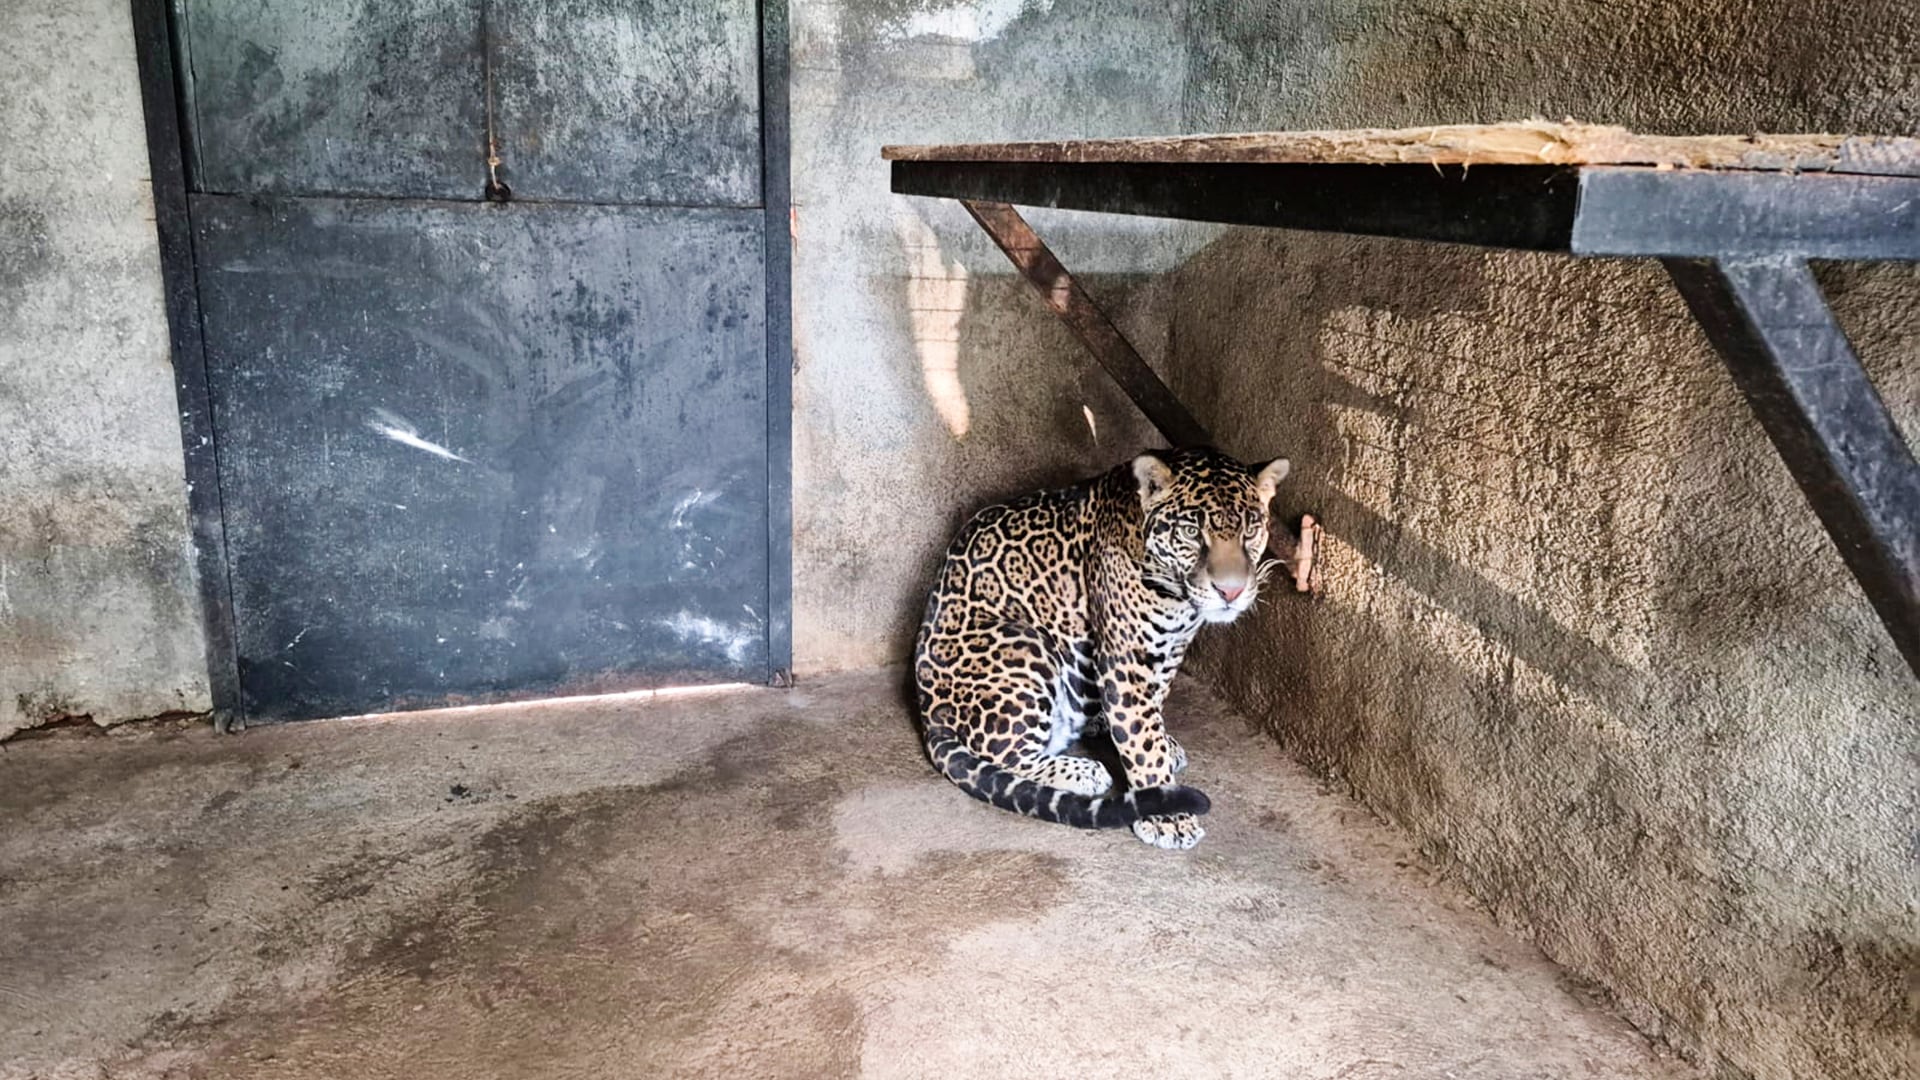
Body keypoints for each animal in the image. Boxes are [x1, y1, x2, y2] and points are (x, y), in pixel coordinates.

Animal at [914, 446, 1291, 850]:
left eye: (1250, 530)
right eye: (1191, 533)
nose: (1231, 592)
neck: (1178, 599)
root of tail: (929, 716)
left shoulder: (1172, 648)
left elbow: (1153, 706)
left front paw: (1161, 746)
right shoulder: (1125, 658)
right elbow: (1141, 736)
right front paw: (1168, 815)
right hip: (1024, 643)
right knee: (1005, 754)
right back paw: (1083, 770)